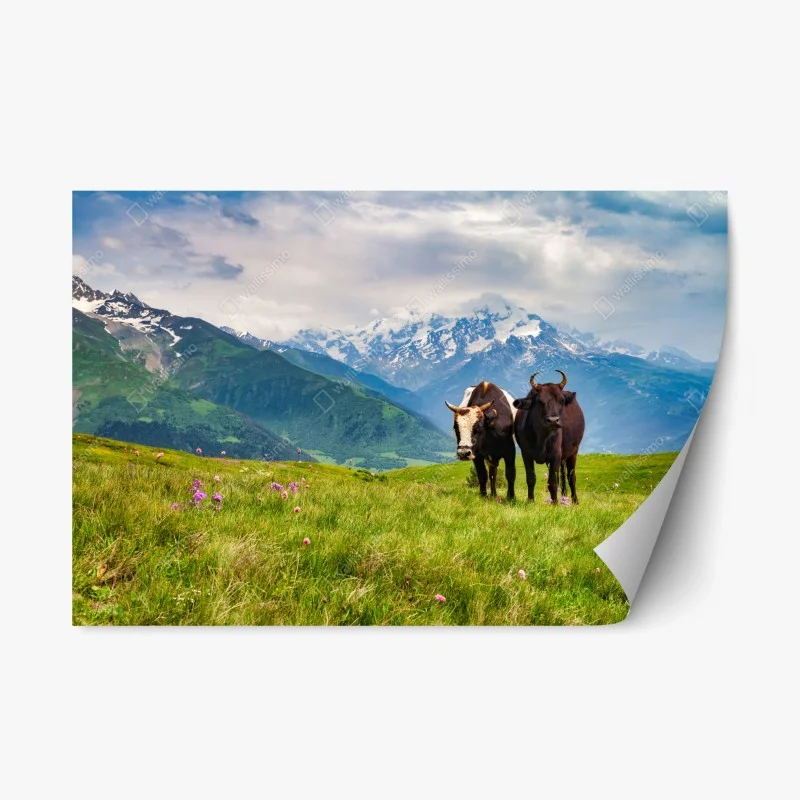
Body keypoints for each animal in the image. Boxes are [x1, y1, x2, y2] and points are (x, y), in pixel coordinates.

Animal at [512, 370, 585, 504]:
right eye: (540, 401)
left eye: (561, 400)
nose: (553, 420)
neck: (541, 437)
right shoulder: (526, 454)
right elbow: (531, 478)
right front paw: (530, 501)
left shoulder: (555, 455)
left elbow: (552, 482)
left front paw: (554, 503)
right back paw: (563, 497)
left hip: (573, 452)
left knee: (571, 477)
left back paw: (574, 501)